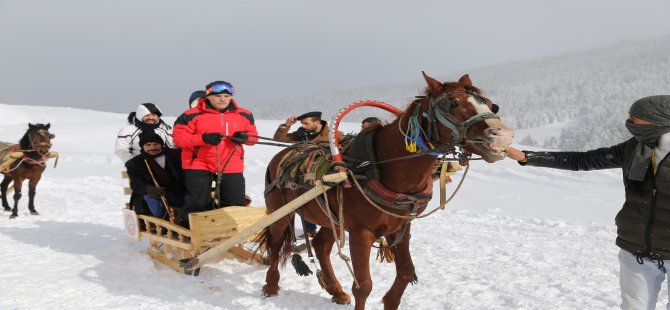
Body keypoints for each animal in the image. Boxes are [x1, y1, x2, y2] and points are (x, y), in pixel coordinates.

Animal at [256, 72, 516, 308]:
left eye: (491, 104)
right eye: (452, 103)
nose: (502, 135)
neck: (382, 164)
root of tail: (283, 153)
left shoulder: (400, 227)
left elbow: (405, 273)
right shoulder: (360, 233)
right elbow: (364, 285)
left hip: (333, 218)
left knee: (321, 246)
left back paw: (336, 291)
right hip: (280, 211)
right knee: (276, 244)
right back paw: (271, 285)